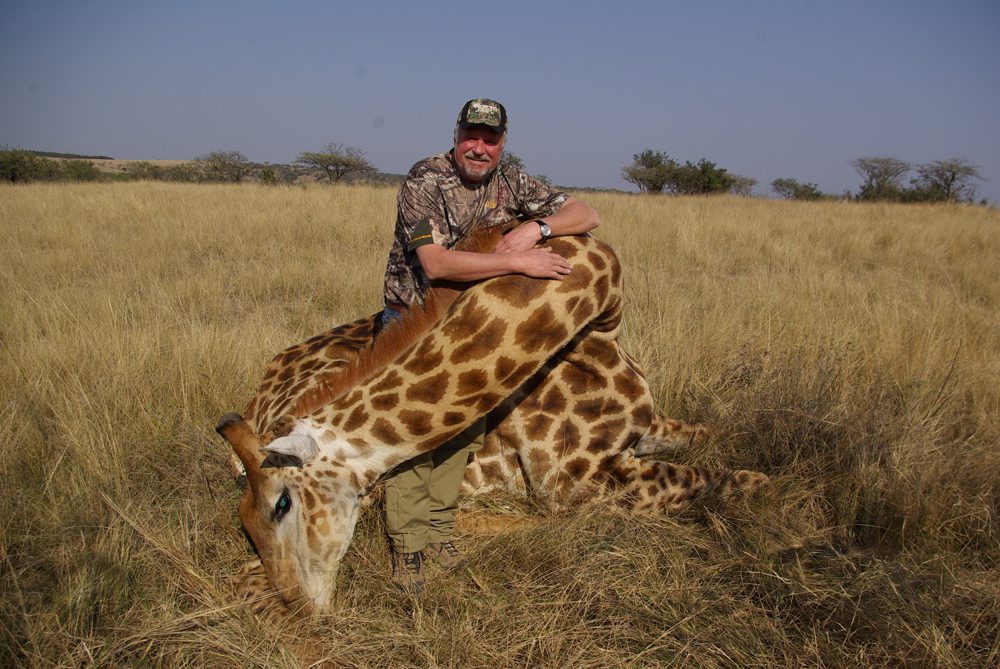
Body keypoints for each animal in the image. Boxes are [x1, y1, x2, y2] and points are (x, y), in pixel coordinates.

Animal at [217, 232, 768, 616]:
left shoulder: (647, 430)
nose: (299, 604)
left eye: (282, 504)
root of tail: (262, 391)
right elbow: (727, 479)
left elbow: (715, 443)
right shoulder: (580, 483)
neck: (591, 345)